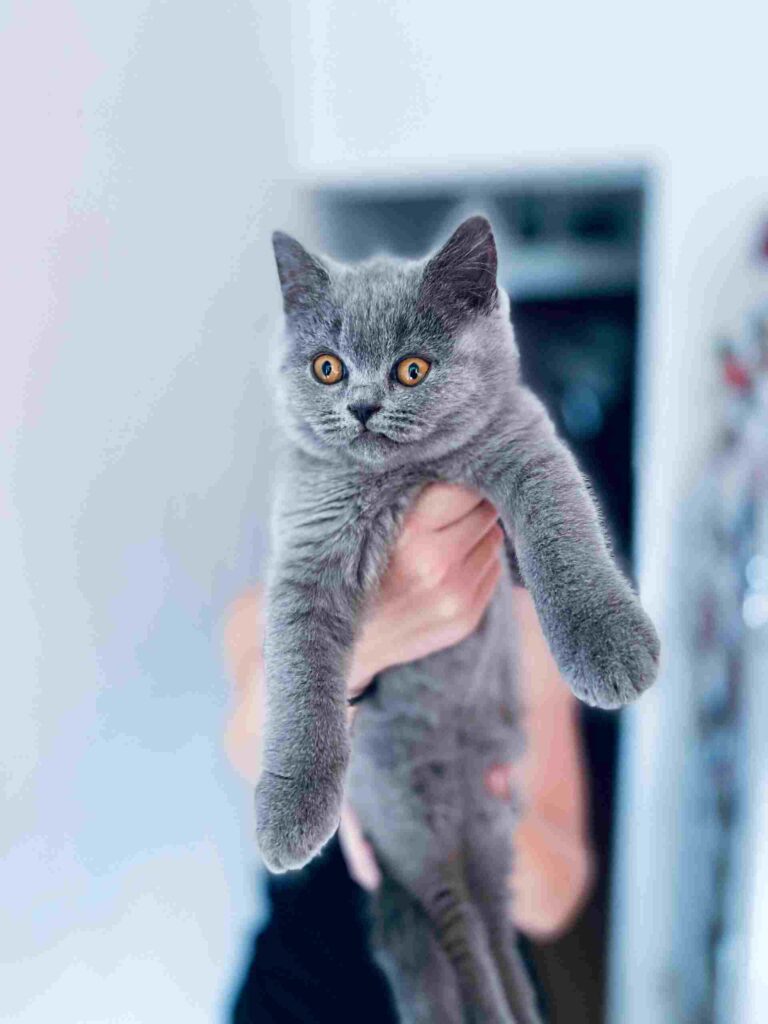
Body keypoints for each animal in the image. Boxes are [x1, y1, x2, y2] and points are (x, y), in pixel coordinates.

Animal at [253, 211, 663, 1019]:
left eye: (412, 369)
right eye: (327, 368)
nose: (362, 406)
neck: (407, 481)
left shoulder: (527, 451)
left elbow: (563, 535)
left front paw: (608, 643)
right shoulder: (305, 552)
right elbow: (298, 680)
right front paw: (289, 811)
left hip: (491, 819)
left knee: (494, 923)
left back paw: (516, 1006)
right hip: (409, 820)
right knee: (458, 921)